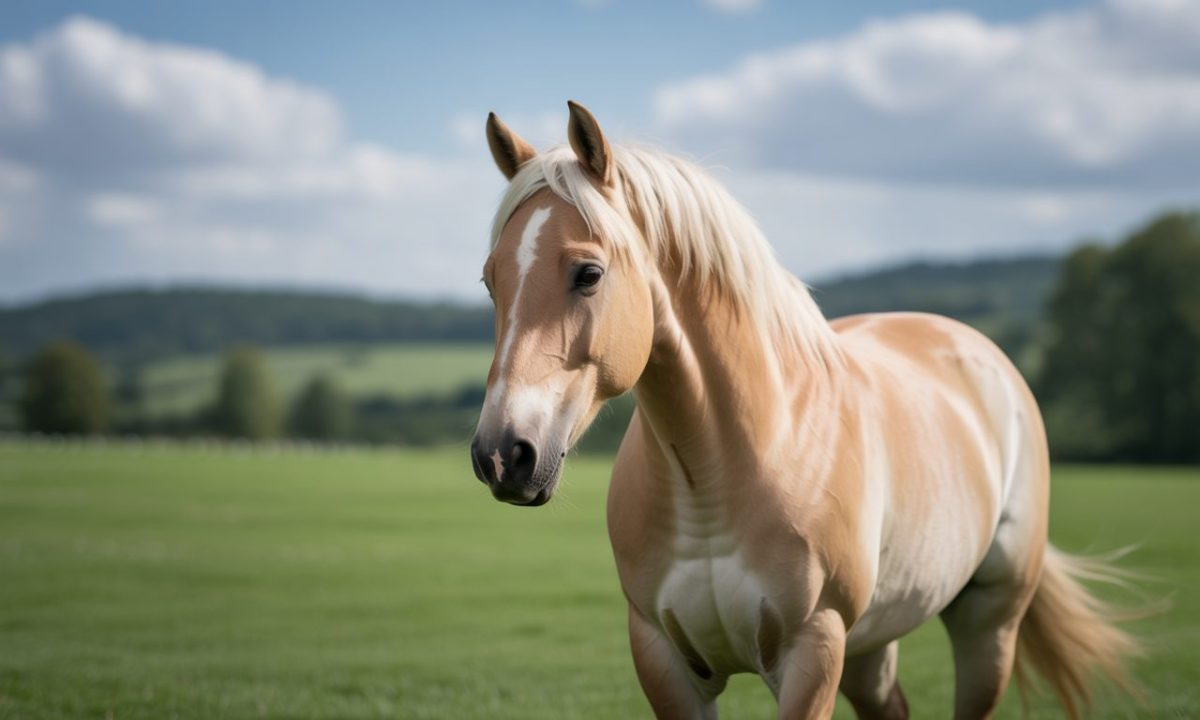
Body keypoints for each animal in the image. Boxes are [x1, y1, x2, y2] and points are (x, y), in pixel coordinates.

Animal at [469, 101, 1139, 719]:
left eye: (588, 274)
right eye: (490, 281)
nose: (502, 454)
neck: (721, 474)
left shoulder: (813, 652)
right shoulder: (664, 660)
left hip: (987, 623)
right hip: (872, 646)